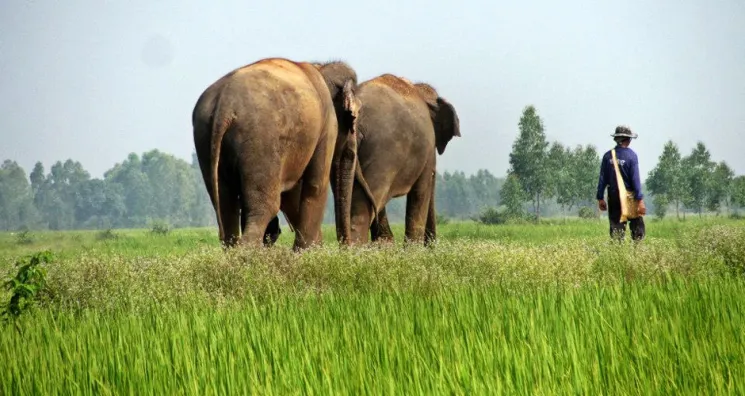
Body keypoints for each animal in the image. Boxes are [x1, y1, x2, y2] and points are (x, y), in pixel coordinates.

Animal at [190, 57, 370, 249]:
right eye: (353, 117)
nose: (348, 247)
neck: (320, 68)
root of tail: (224, 106)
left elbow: (292, 195)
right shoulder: (327, 126)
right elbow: (315, 185)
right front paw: (307, 252)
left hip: (204, 139)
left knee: (226, 209)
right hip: (261, 142)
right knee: (265, 207)